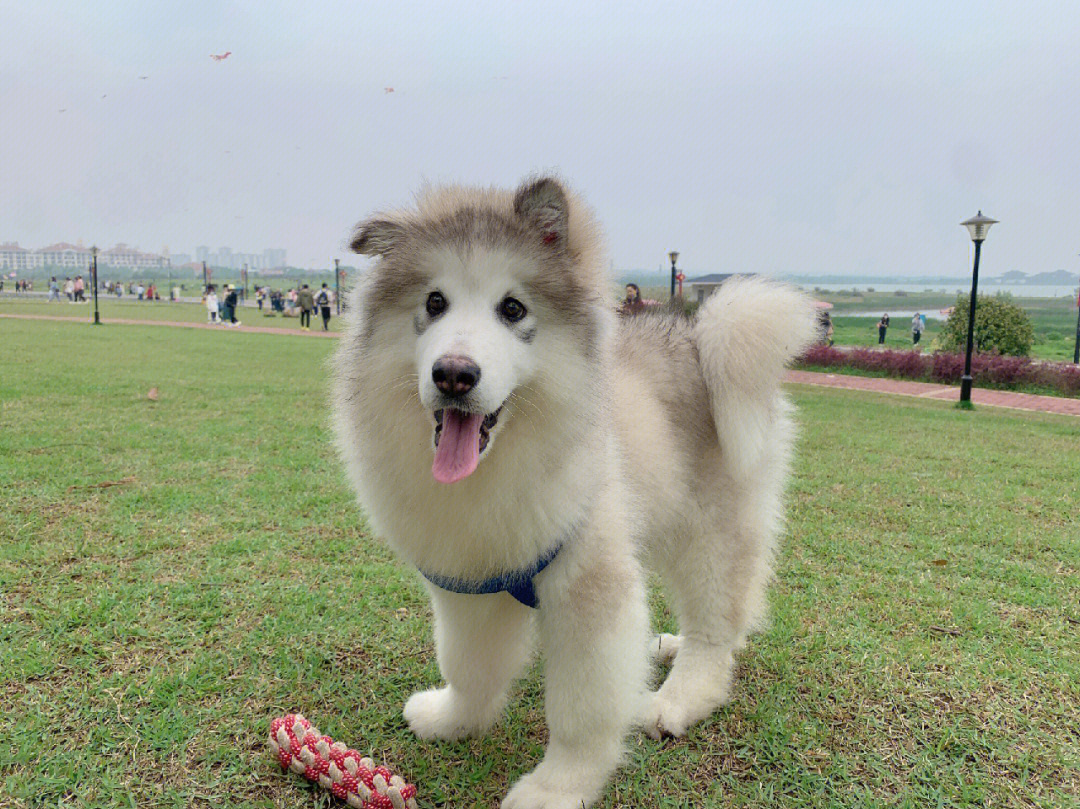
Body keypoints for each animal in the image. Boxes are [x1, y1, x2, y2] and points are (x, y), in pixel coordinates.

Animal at [332, 178, 812, 807]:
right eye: (434, 303)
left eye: (512, 309)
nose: (454, 374)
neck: (501, 463)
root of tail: (697, 336)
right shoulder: (471, 582)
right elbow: (467, 664)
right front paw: (453, 720)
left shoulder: (588, 590)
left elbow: (582, 709)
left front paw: (556, 788)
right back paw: (666, 644)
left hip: (711, 529)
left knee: (716, 629)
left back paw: (679, 696)